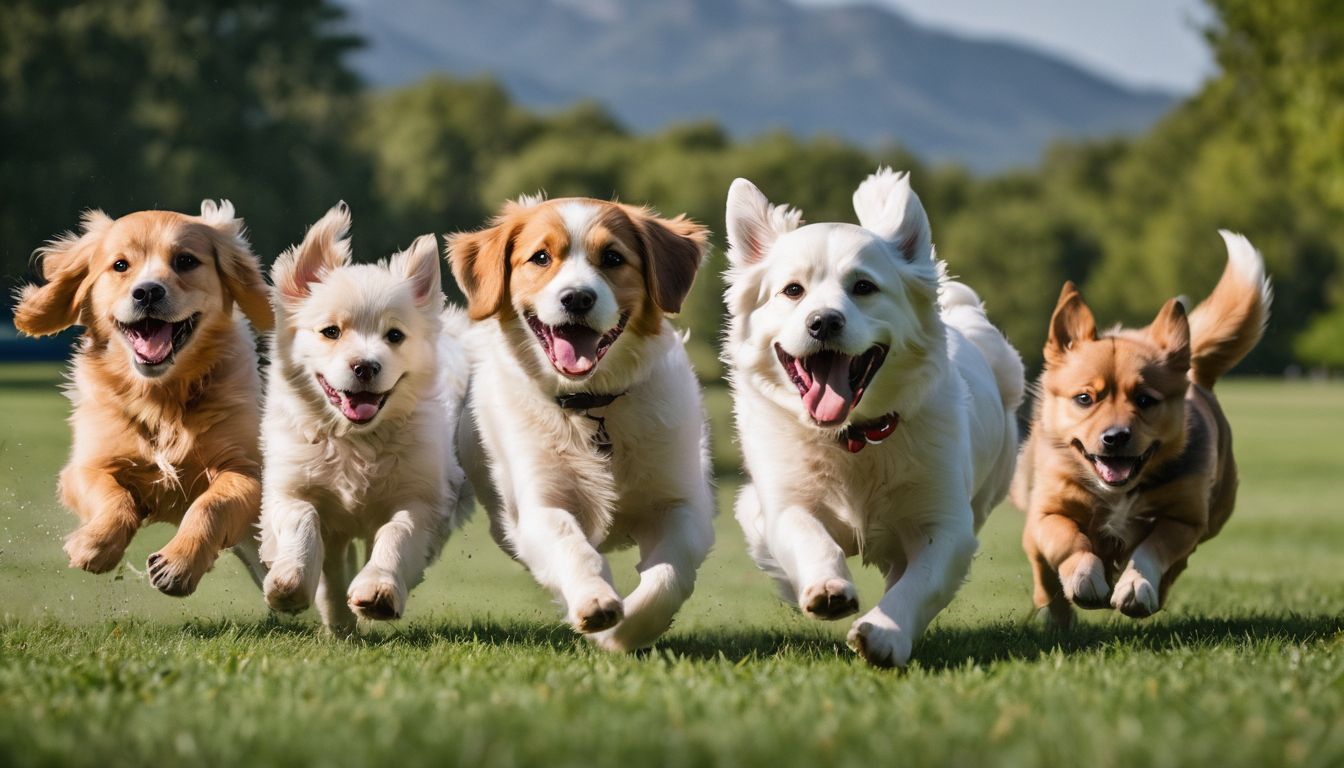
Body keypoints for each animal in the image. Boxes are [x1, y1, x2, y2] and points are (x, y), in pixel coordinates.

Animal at [11, 203, 270, 594]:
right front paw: (93, 545)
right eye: (120, 265)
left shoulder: (247, 468)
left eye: (185, 260)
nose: (147, 292)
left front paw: (178, 564)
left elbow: (212, 504)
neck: (160, 396)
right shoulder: (86, 465)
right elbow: (113, 497)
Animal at [260, 201, 473, 634]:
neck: (355, 440)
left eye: (394, 336)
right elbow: (302, 521)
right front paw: (290, 582)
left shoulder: (422, 496)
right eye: (331, 331)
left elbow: (397, 533)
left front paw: (378, 591)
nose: (365, 366)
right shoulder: (288, 487)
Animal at [448, 192, 715, 648]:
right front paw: (594, 601)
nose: (576, 298)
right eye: (540, 257)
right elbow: (571, 546)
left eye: (612, 257)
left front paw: (624, 631)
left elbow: (668, 575)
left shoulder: (681, 503)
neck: (591, 405)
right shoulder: (540, 504)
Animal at [725, 168, 1016, 667]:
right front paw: (826, 587)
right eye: (793, 290)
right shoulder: (781, 502)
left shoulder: (947, 524)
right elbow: (805, 533)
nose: (823, 321)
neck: (853, 437)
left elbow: (921, 582)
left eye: (863, 287)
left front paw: (884, 632)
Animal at [1016, 231, 1268, 626]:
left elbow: (1153, 547)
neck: (1119, 492)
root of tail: (1195, 373)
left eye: (1145, 399)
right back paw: (1058, 613)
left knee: (1176, 564)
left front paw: (1135, 586)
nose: (1115, 437)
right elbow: (1069, 540)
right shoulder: (1048, 511)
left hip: (1214, 516)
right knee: (1044, 573)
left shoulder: (1183, 519)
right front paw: (1085, 576)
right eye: (1085, 398)